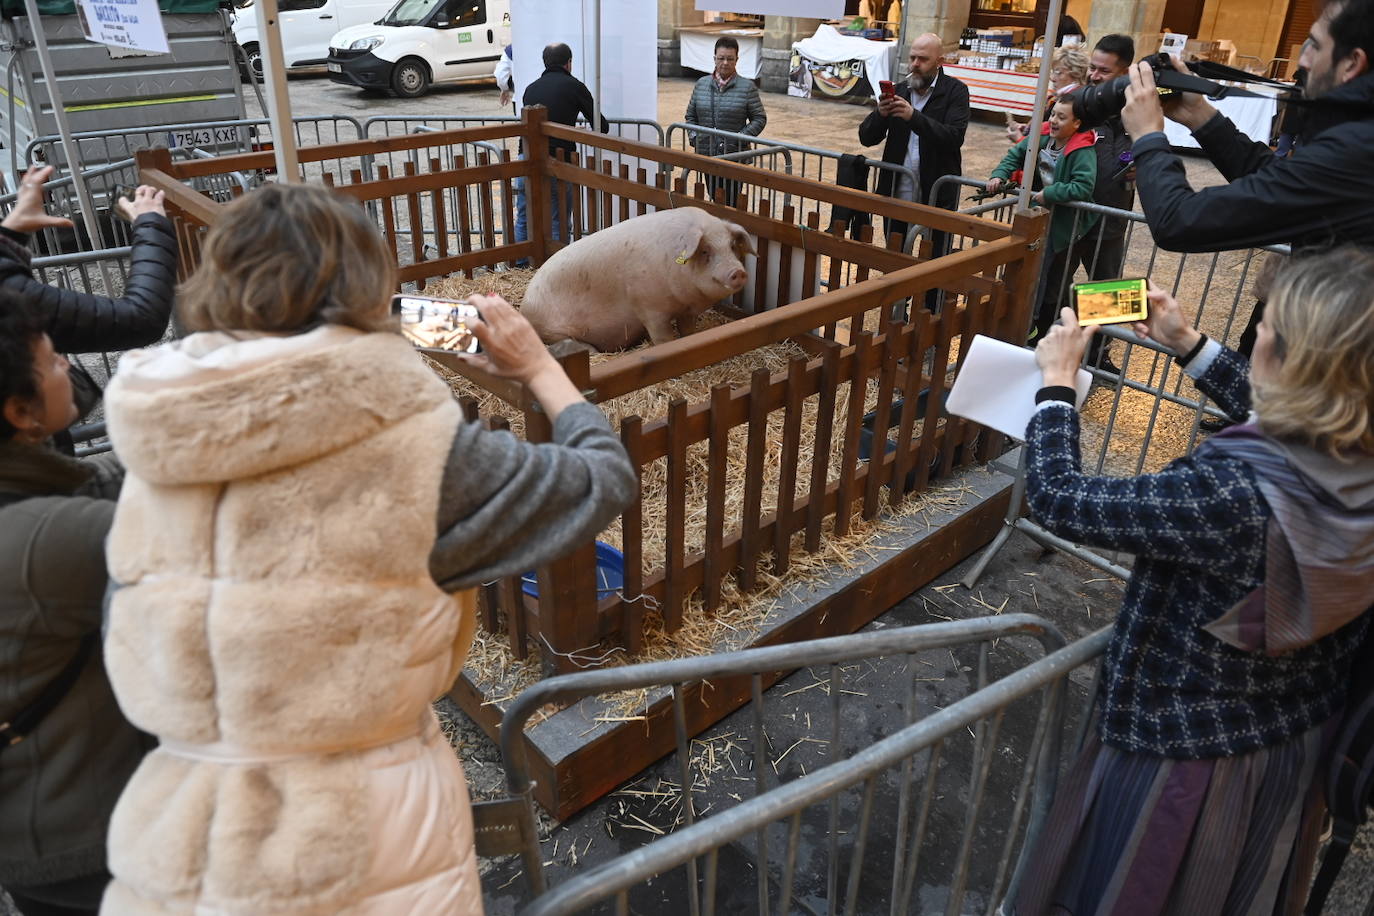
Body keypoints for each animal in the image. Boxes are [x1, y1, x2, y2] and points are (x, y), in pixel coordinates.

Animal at [519, 208, 758, 354]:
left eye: (732, 246)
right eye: (706, 251)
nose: (738, 271)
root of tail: (524, 305)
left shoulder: (686, 310)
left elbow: (688, 331)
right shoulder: (649, 307)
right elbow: (664, 338)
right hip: (553, 330)